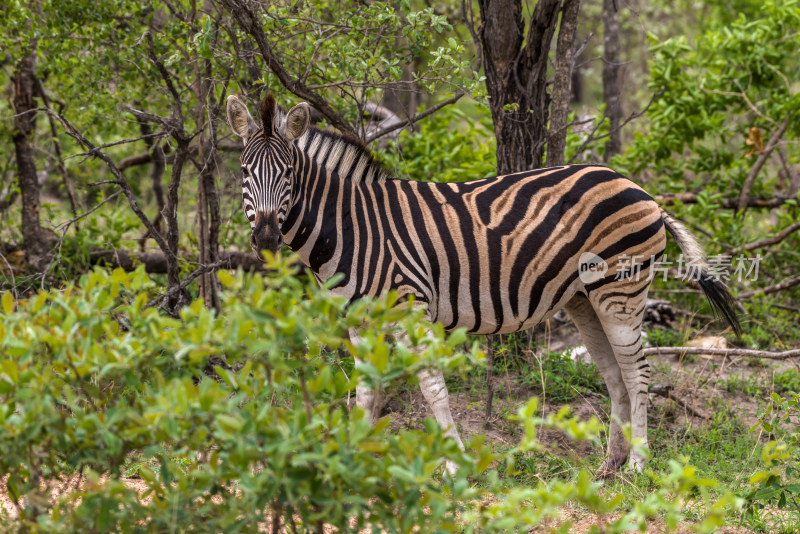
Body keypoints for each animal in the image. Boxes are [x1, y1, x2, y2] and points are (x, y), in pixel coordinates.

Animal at [225, 93, 736, 478]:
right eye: (245, 173)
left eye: (288, 174)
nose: (266, 237)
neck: (353, 227)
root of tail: (638, 187)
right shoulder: (359, 319)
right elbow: (366, 393)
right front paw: (352, 456)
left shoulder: (411, 306)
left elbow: (432, 387)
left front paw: (453, 465)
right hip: (583, 298)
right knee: (614, 376)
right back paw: (610, 465)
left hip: (620, 289)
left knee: (638, 373)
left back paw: (638, 466)